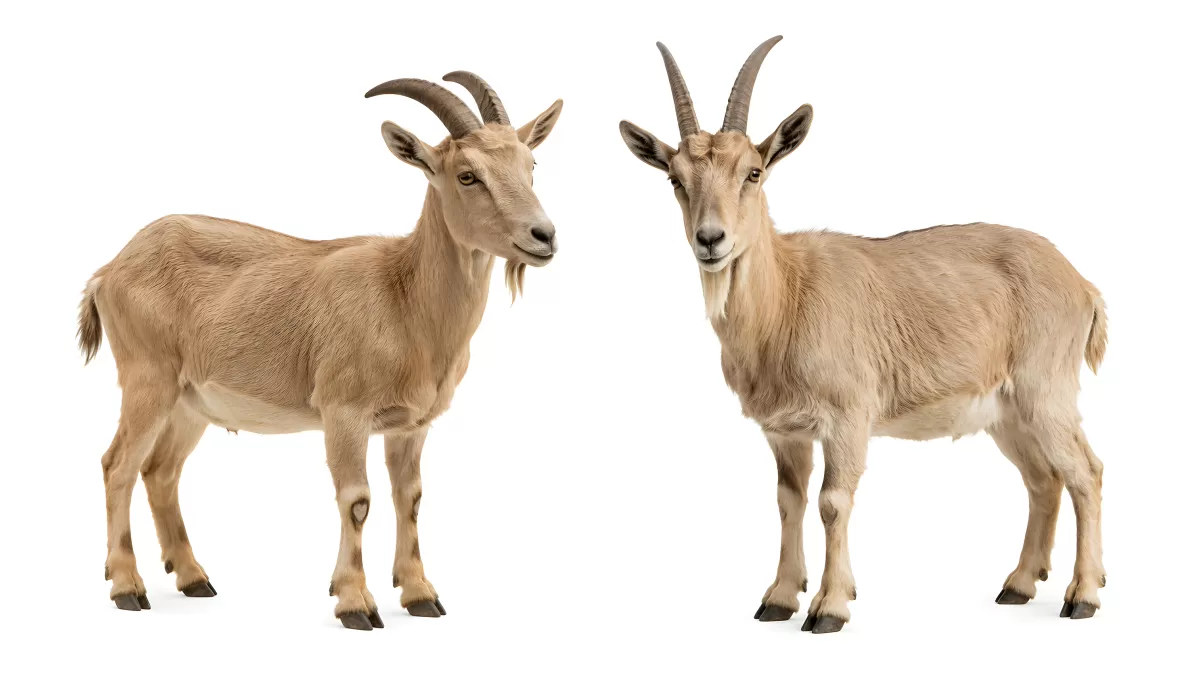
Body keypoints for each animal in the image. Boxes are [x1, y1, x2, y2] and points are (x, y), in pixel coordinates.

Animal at [78, 72, 563, 630]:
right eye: (467, 175)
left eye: (530, 165)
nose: (543, 236)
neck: (404, 297)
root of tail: (109, 270)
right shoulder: (343, 412)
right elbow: (357, 500)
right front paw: (355, 602)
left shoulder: (410, 425)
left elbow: (411, 499)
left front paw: (420, 595)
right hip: (147, 378)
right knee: (118, 465)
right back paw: (127, 587)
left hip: (190, 402)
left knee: (161, 472)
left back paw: (194, 578)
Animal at [619, 36, 1107, 632]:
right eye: (675, 178)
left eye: (753, 172)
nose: (711, 240)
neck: (787, 300)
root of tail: (1081, 284)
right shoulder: (785, 431)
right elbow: (788, 500)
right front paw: (779, 598)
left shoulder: (848, 416)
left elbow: (833, 501)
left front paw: (829, 606)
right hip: (1006, 412)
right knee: (1042, 479)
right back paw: (1017, 585)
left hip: (1046, 389)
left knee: (1085, 472)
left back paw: (1082, 595)